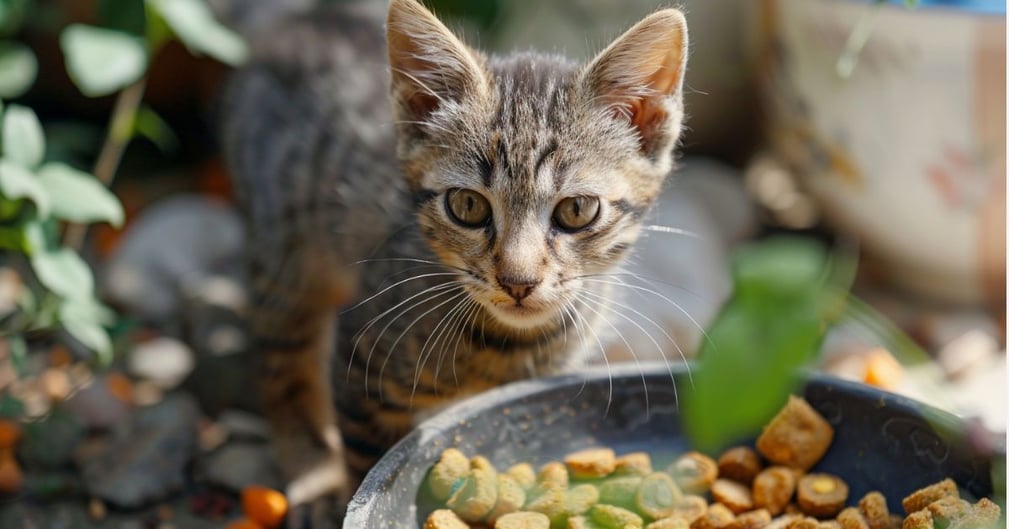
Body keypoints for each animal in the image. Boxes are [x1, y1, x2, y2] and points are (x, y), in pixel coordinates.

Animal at [221, 0, 690, 520]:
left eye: (576, 210)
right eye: (468, 205)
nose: (518, 281)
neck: (505, 346)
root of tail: (308, 17)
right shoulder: (364, 357)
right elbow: (365, 458)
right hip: (283, 251)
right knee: (281, 363)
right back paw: (312, 473)